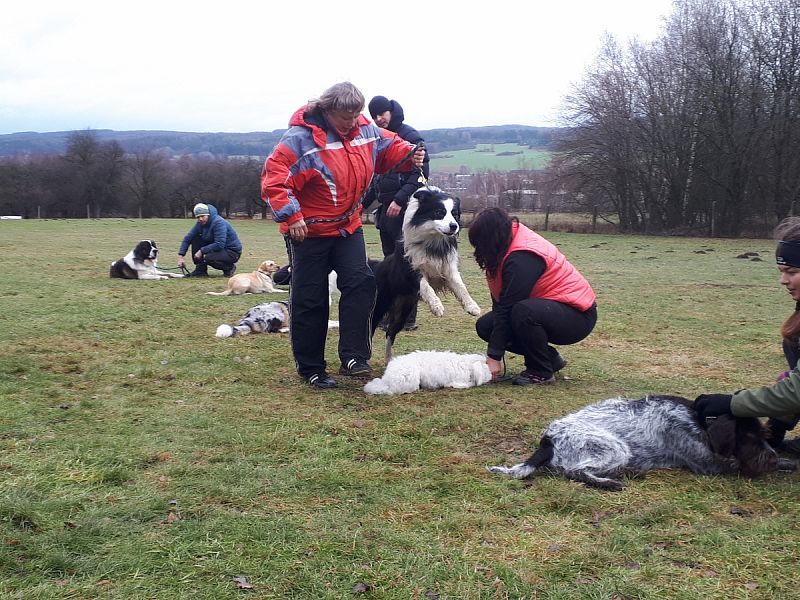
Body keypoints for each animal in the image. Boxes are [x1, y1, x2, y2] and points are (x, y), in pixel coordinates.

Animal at [370, 185, 478, 360]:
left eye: (455, 214)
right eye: (439, 212)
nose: (454, 226)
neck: (433, 240)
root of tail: (378, 266)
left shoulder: (449, 269)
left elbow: (461, 287)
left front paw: (472, 306)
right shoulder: (412, 269)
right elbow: (426, 286)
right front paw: (437, 307)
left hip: (403, 310)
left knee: (390, 333)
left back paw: (389, 359)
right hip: (380, 304)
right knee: (370, 328)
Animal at [488, 394, 792, 492]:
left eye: (762, 435)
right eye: (748, 437)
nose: (770, 457)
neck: (699, 421)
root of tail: (548, 437)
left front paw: (785, 461)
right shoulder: (708, 466)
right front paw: (785, 464)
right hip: (616, 448)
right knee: (575, 472)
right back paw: (611, 483)